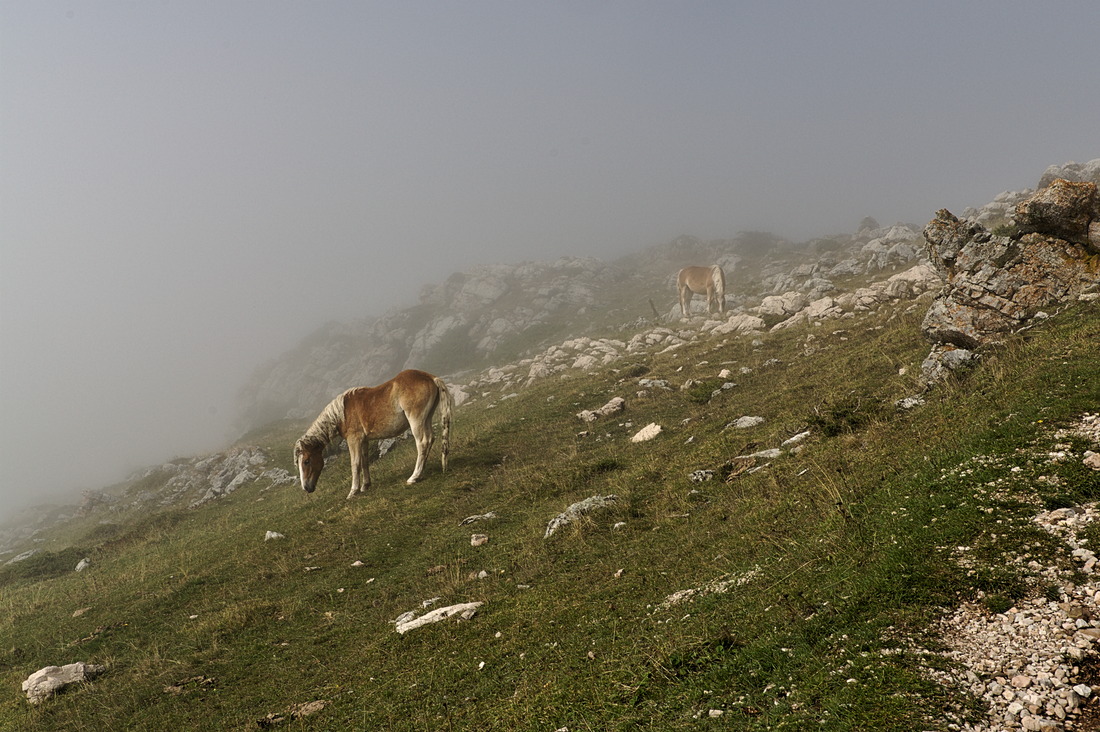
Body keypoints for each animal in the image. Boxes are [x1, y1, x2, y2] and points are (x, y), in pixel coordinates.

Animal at [292, 367, 455, 499]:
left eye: (306, 461)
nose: (306, 488)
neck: (341, 413)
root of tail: (430, 377)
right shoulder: (364, 440)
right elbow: (364, 461)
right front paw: (365, 486)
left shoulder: (354, 440)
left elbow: (355, 463)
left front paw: (353, 491)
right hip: (426, 418)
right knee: (430, 439)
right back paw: (421, 473)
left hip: (416, 420)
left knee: (422, 442)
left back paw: (414, 477)